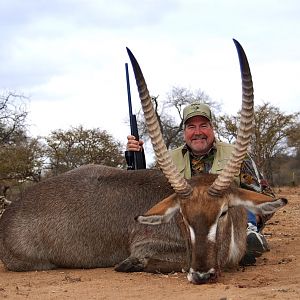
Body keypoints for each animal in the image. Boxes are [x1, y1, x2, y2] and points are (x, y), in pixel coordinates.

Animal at [0, 39, 288, 284]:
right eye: (182, 216)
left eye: (223, 212)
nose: (201, 274)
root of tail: (9, 214)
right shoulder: (145, 244)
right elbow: (163, 259)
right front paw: (131, 264)